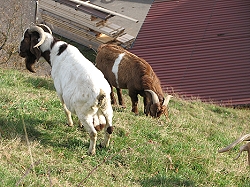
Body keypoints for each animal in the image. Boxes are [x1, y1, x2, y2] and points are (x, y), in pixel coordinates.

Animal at [18, 25, 113, 156]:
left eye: (26, 38)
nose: (19, 52)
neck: (55, 52)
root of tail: (101, 92)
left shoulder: (60, 90)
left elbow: (66, 109)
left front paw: (70, 123)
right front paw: (79, 125)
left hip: (85, 113)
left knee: (93, 133)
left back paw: (91, 151)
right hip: (107, 109)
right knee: (109, 129)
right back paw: (104, 145)